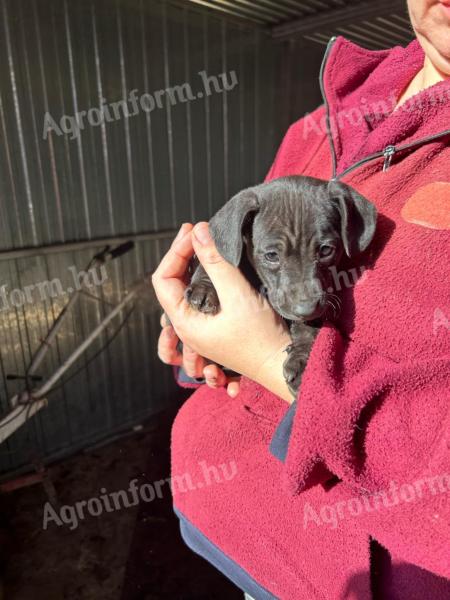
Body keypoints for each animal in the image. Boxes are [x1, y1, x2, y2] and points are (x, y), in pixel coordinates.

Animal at [185, 176, 378, 396]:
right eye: (271, 255)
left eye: (326, 250)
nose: (306, 309)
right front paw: (204, 288)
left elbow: (309, 328)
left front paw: (302, 361)